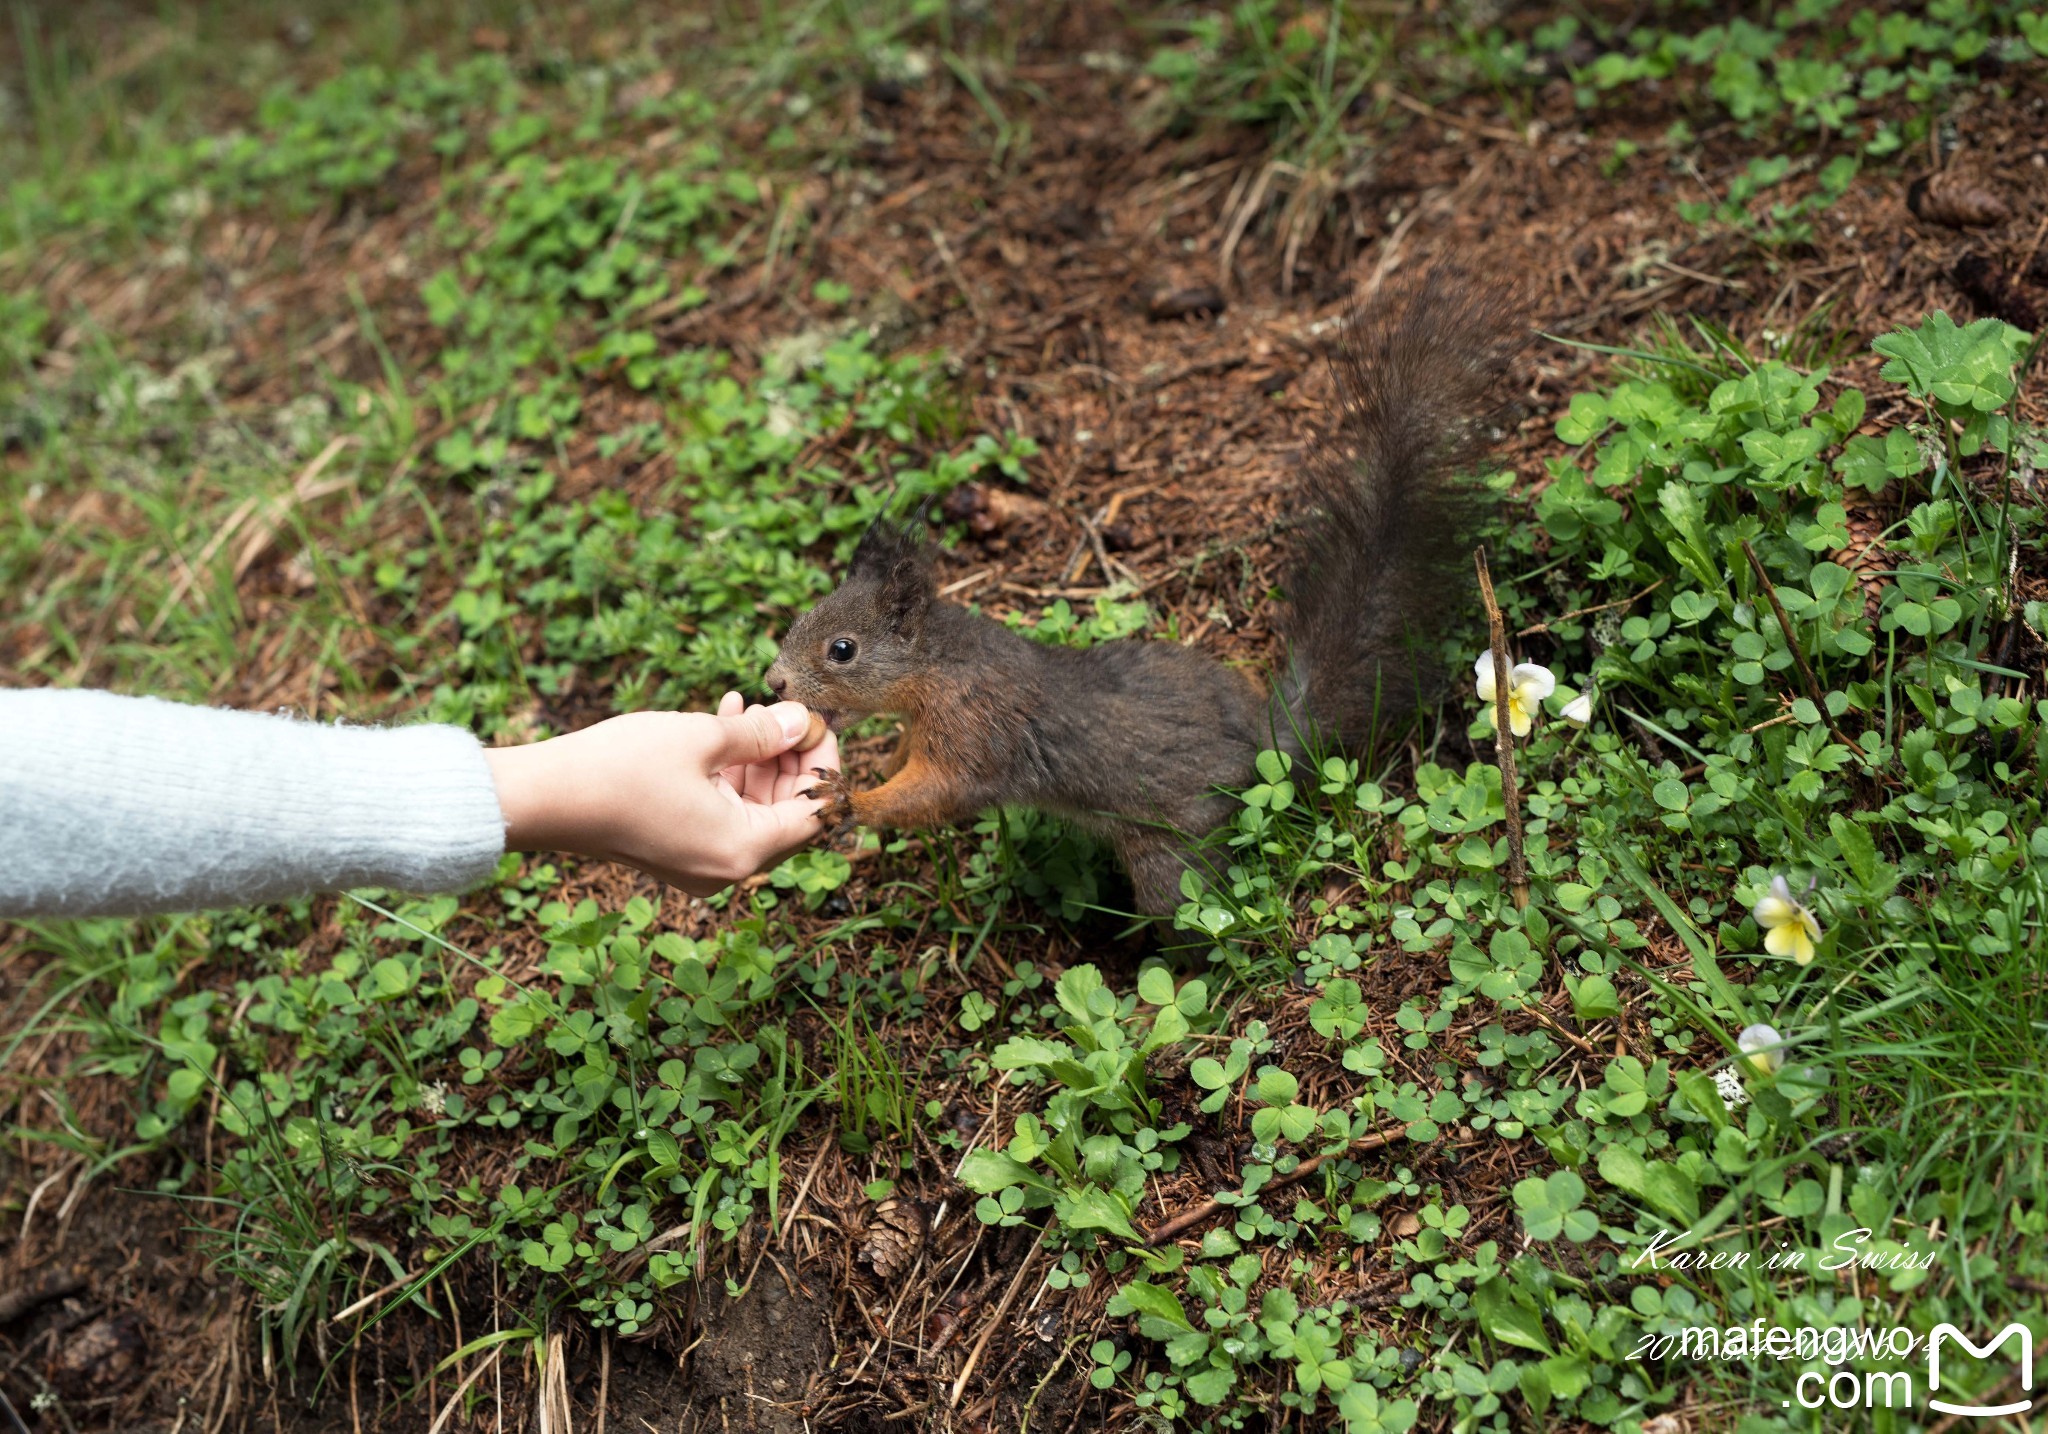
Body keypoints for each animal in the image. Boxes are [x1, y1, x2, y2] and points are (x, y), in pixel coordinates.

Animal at [761, 274, 1515, 913]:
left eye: (841, 649)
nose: (772, 683)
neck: (936, 671)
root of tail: (1267, 748)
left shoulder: (977, 728)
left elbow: (940, 793)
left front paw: (852, 800)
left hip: (1169, 854)